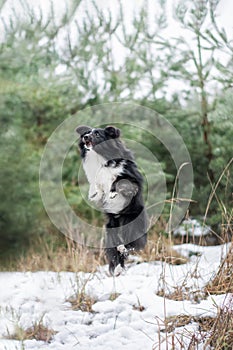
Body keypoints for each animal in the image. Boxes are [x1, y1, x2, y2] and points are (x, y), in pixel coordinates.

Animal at [76, 126, 147, 276]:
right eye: (86, 133)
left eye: (97, 134)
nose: (85, 137)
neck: (100, 157)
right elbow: (96, 187)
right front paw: (93, 193)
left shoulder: (131, 179)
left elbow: (120, 181)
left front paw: (113, 193)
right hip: (110, 230)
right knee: (116, 252)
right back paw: (118, 267)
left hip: (132, 224)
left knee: (130, 245)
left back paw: (123, 250)